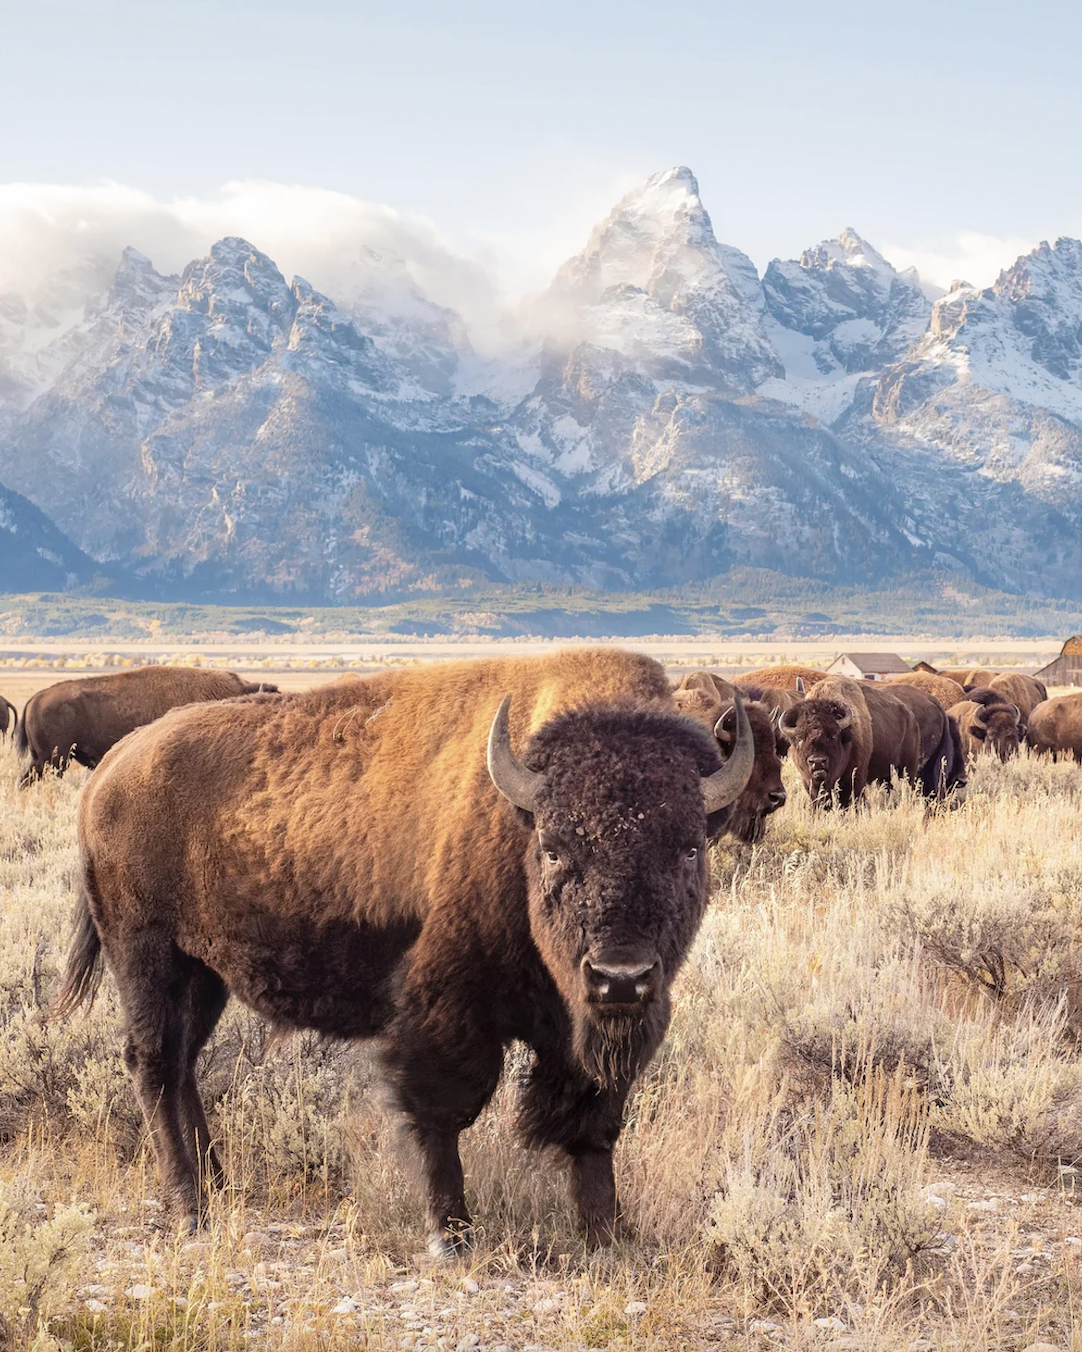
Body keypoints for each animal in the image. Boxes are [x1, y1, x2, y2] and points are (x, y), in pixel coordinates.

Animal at [52, 648, 751, 1249]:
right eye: (555, 850)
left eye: (690, 848)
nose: (620, 977)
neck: (517, 816)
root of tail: (109, 773)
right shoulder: (446, 1013)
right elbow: (442, 1113)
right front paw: (452, 1234)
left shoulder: (584, 1030)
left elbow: (594, 1123)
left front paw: (608, 1235)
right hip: (145, 955)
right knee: (152, 1062)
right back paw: (189, 1206)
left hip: (204, 973)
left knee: (182, 1065)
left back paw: (217, 1188)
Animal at [779, 673, 919, 805]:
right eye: (799, 738)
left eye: (833, 736)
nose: (818, 762)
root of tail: (911, 716)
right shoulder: (809, 782)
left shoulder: (855, 776)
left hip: (907, 767)